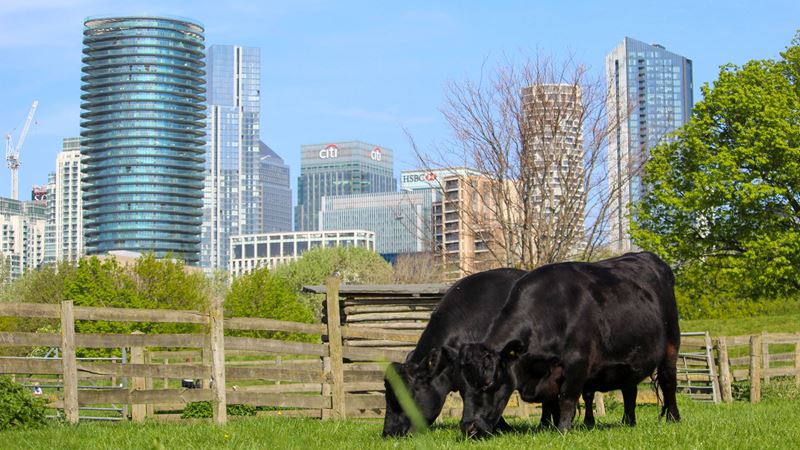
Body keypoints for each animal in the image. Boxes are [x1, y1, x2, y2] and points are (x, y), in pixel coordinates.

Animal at [456, 252, 681, 437]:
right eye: (462, 386)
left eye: (488, 384)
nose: (468, 427)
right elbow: (554, 401)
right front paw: (551, 427)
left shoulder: (577, 363)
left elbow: (566, 398)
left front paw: (562, 430)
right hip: (629, 358)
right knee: (629, 389)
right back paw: (627, 422)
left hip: (671, 344)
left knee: (668, 381)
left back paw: (673, 419)